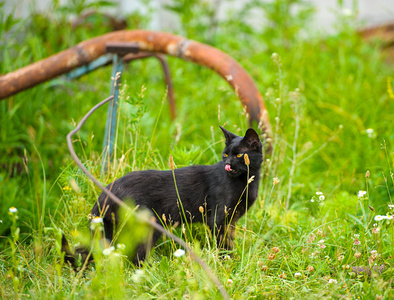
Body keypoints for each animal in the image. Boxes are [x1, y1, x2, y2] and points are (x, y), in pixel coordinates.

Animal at [63, 125, 264, 266]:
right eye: (225, 154)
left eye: (239, 155)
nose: (228, 164)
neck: (246, 182)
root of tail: (106, 192)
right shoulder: (219, 219)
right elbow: (223, 245)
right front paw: (226, 264)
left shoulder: (232, 220)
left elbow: (230, 240)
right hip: (148, 227)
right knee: (135, 257)